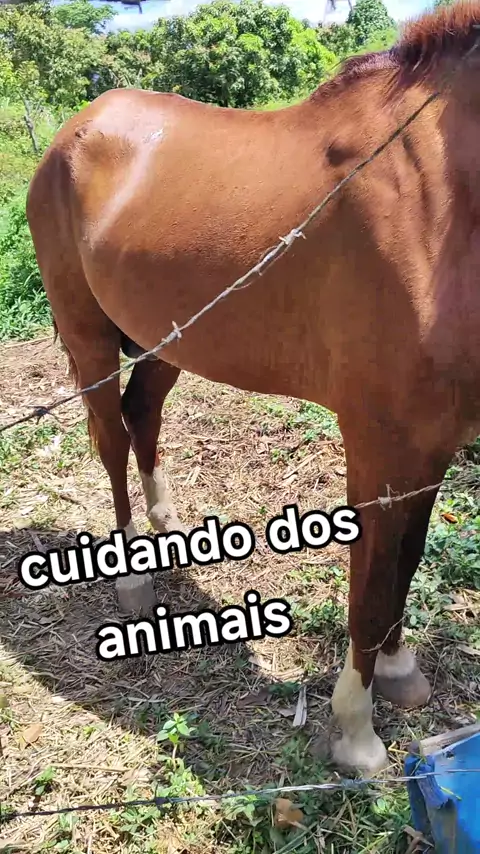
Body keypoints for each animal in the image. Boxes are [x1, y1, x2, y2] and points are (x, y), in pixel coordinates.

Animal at [26, 1, 480, 777]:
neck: (439, 204)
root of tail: (73, 130)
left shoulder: (433, 437)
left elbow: (408, 557)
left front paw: (397, 670)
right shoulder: (377, 439)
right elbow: (370, 584)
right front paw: (355, 732)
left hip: (169, 336)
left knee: (142, 416)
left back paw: (166, 529)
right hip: (88, 338)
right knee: (111, 438)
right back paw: (131, 574)